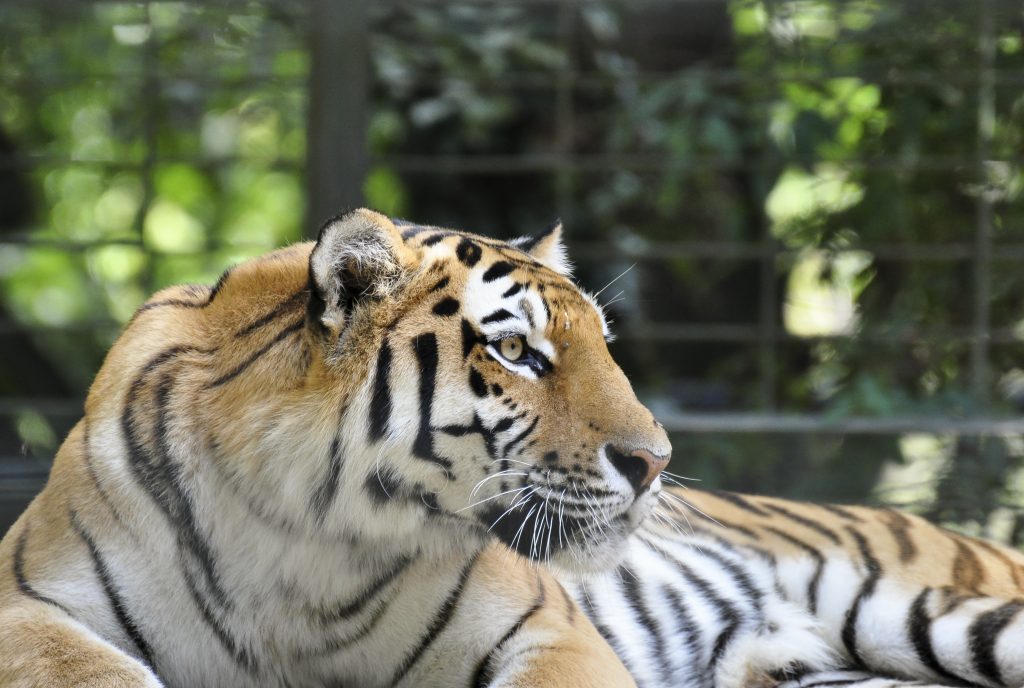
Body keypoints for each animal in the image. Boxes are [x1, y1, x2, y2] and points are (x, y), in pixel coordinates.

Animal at [0, 206, 1019, 683]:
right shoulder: (28, 607)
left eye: (603, 344)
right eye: (519, 351)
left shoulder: (548, 631)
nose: (654, 462)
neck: (307, 540)